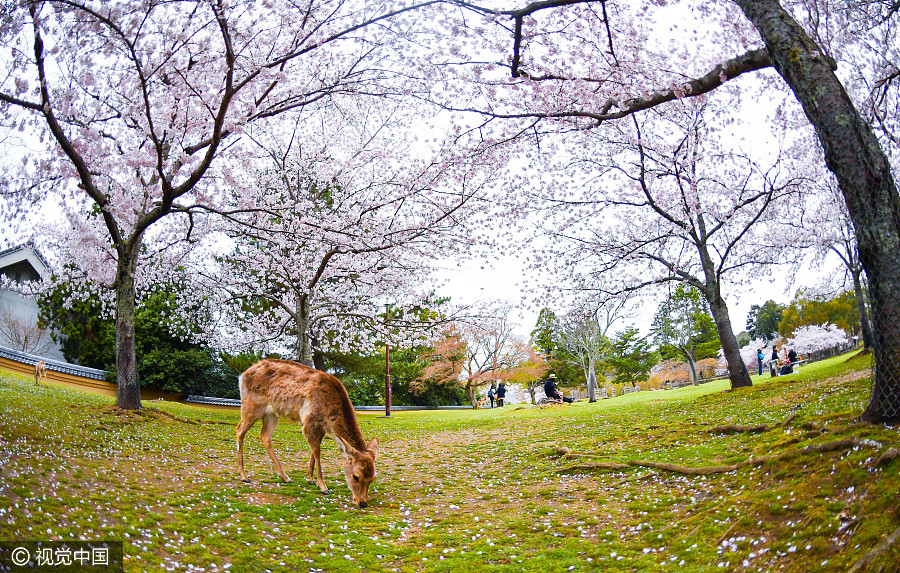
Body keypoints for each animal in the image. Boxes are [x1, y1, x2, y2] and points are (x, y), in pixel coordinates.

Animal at [236, 359, 380, 508]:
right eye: (355, 476)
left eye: (373, 477)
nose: (363, 502)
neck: (329, 416)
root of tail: (243, 375)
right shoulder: (309, 423)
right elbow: (317, 451)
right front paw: (323, 487)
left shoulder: (321, 427)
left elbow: (314, 452)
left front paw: (310, 479)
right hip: (251, 405)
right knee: (239, 430)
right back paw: (244, 476)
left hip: (271, 413)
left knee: (264, 436)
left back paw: (286, 477)